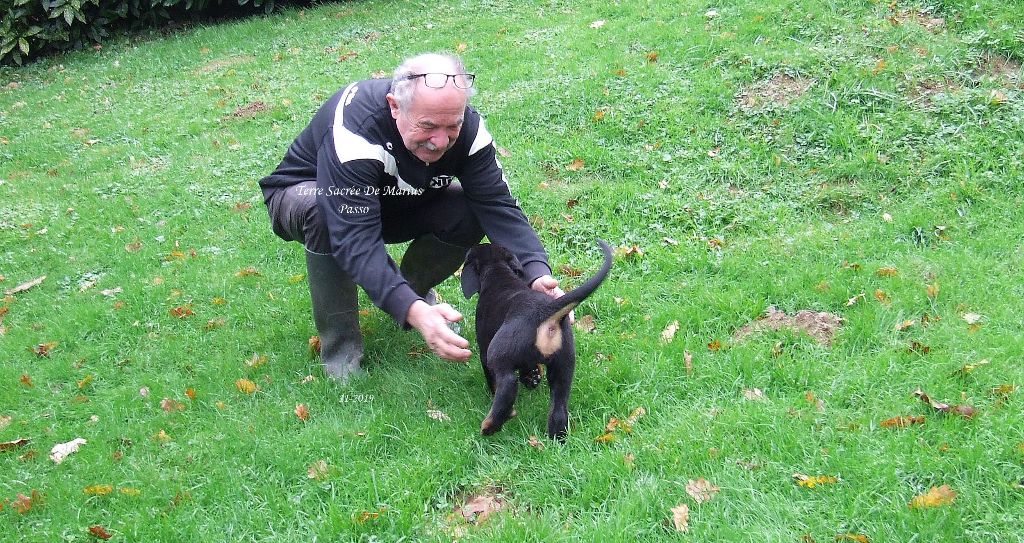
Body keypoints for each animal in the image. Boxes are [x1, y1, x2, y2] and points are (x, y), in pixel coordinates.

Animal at [460, 238, 610, 436]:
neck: (498, 273)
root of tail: (545, 311)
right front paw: (532, 377)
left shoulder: (484, 350)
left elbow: (492, 379)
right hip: (564, 365)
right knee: (559, 410)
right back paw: (556, 438)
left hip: (497, 351)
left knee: (508, 384)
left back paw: (491, 425)